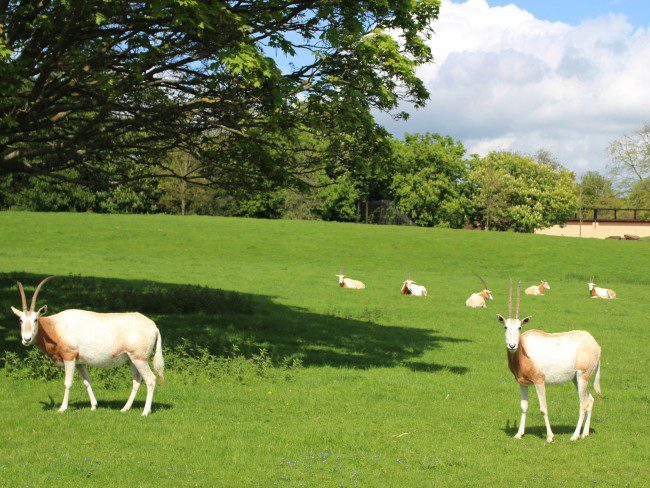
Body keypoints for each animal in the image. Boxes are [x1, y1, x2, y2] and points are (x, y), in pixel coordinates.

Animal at [11, 278, 163, 416]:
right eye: (20, 320)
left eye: (35, 319)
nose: (26, 339)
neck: (55, 327)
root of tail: (154, 327)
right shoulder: (79, 362)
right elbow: (86, 381)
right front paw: (94, 406)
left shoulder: (69, 357)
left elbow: (68, 383)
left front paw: (62, 408)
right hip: (132, 359)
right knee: (137, 381)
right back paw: (125, 408)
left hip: (140, 359)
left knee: (150, 380)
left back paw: (145, 412)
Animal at [498, 278, 600, 442]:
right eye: (505, 327)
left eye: (519, 327)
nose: (512, 345)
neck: (524, 351)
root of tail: (594, 344)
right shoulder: (523, 383)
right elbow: (523, 406)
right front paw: (519, 433)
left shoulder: (539, 381)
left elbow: (543, 409)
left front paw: (550, 436)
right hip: (576, 379)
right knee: (590, 400)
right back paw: (584, 433)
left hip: (583, 376)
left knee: (583, 404)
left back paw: (574, 436)